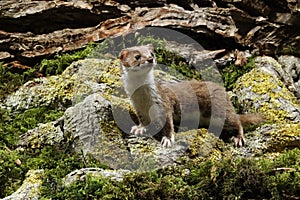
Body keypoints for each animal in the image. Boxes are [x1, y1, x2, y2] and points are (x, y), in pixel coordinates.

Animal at [118, 44, 264, 148]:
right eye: (137, 56)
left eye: (152, 53)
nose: (150, 59)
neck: (142, 97)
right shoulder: (138, 107)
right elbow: (143, 121)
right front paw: (139, 129)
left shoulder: (163, 102)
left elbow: (168, 124)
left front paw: (168, 139)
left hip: (220, 110)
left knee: (237, 121)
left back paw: (238, 138)